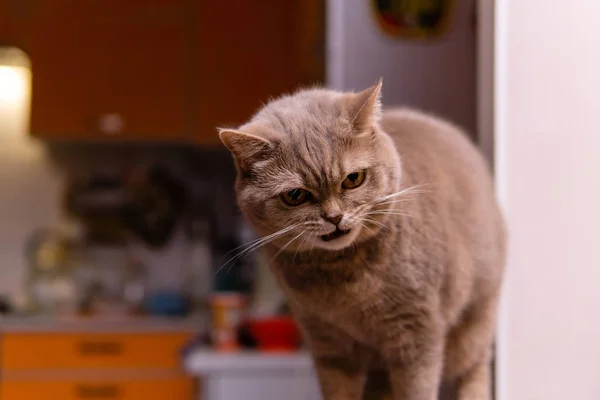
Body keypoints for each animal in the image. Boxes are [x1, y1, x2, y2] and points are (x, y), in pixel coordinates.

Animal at [218, 79, 504, 398]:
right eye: (295, 195)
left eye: (353, 179)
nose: (334, 217)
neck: (344, 282)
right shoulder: (328, 346)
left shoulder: (417, 336)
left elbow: (417, 390)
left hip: (470, 329)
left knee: (475, 370)